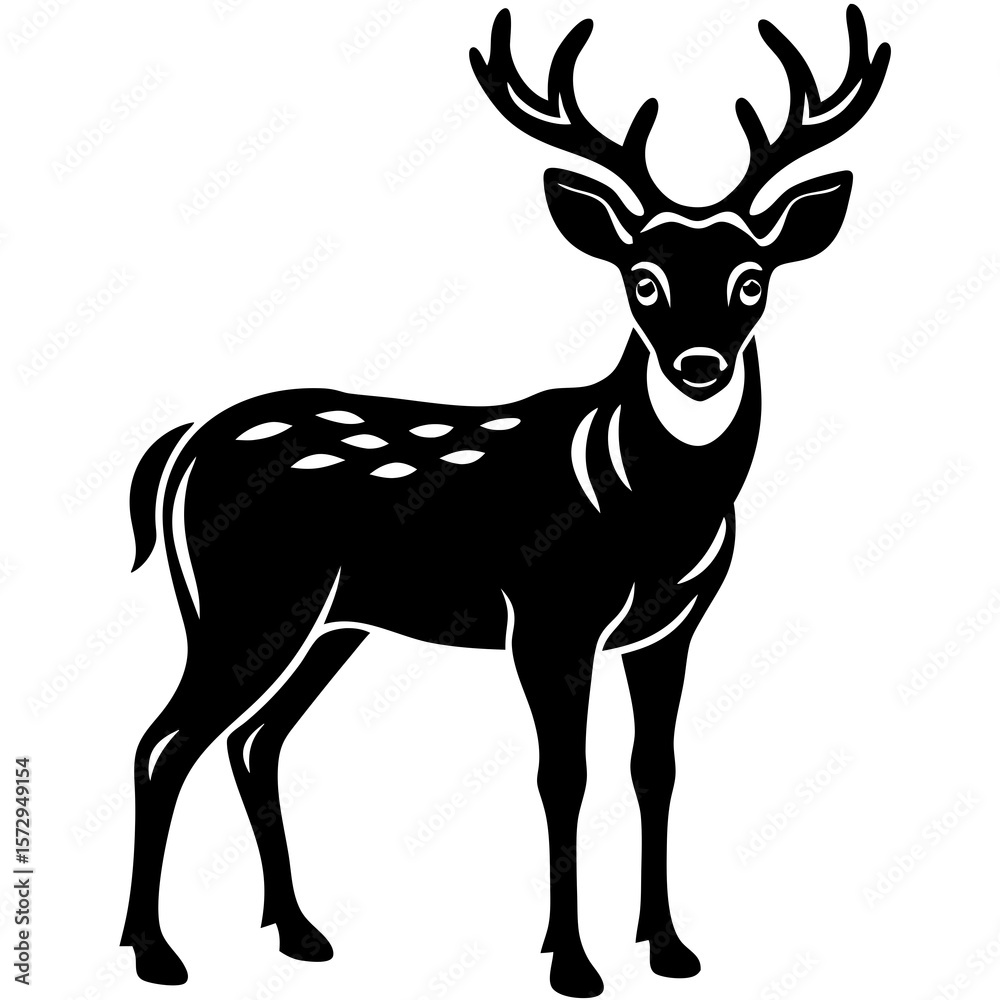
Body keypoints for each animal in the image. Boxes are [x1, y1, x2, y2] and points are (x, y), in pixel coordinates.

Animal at [120, 7, 889, 996]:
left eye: (753, 278)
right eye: (642, 278)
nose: (699, 365)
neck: (646, 510)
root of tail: (180, 446)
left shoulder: (673, 626)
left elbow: (655, 769)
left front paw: (670, 948)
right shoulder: (550, 616)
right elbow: (564, 776)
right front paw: (572, 962)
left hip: (329, 623)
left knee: (254, 744)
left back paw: (298, 931)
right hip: (245, 602)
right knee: (163, 743)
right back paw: (155, 951)